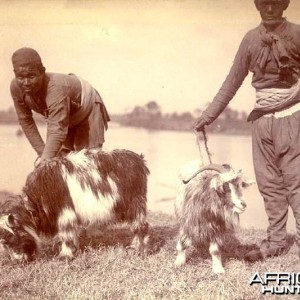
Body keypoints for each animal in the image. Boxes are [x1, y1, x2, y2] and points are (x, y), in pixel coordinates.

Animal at [0, 149, 150, 262]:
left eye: (11, 239)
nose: (18, 261)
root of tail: (139, 160)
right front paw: (74, 250)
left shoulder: (65, 213)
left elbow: (66, 234)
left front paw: (65, 255)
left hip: (136, 203)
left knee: (140, 226)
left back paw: (137, 249)